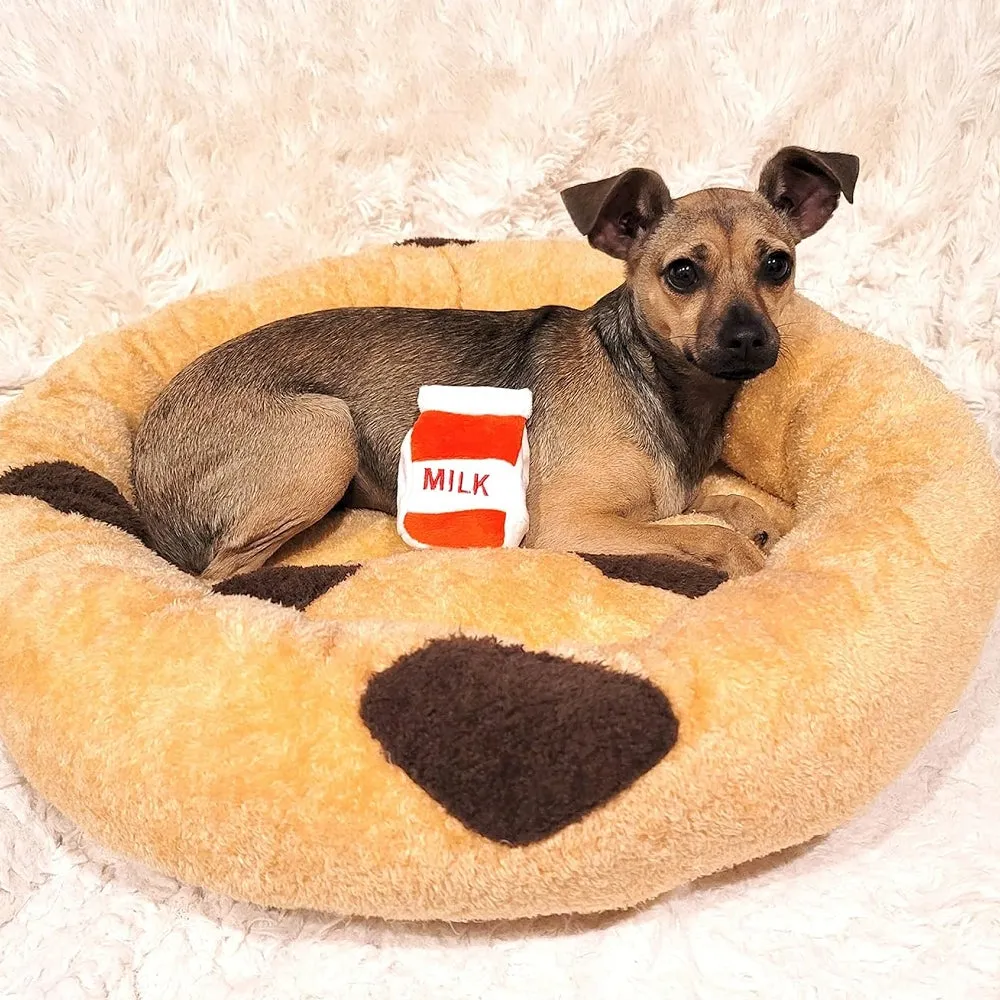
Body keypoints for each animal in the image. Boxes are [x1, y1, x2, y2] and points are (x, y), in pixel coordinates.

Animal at [133, 148, 860, 584]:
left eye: (778, 265)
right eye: (683, 273)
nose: (749, 339)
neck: (657, 386)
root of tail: (142, 470)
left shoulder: (673, 493)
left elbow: (725, 503)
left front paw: (764, 521)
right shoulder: (571, 526)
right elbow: (710, 536)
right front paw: (744, 554)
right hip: (326, 430)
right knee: (222, 577)